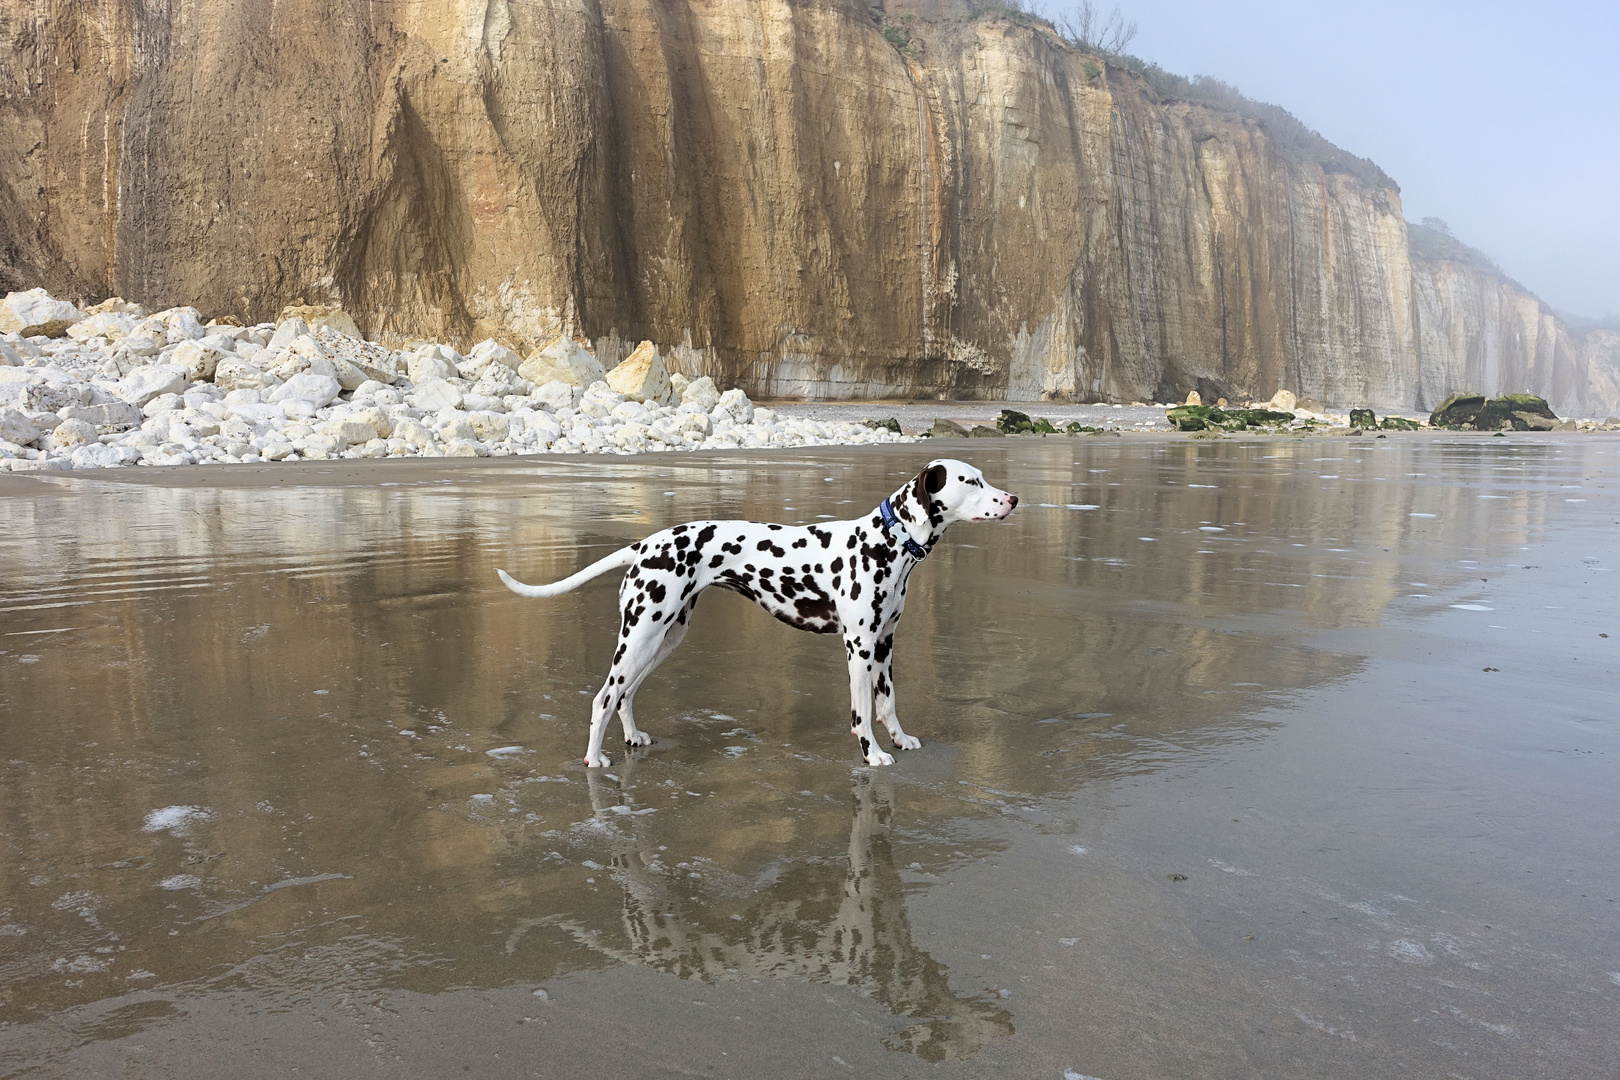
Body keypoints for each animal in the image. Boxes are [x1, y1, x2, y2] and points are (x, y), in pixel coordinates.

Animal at [498, 456, 1017, 767]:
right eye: (970, 481)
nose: (1013, 499)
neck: (884, 542)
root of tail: (645, 544)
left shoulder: (886, 643)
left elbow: (888, 702)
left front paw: (901, 740)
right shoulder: (859, 648)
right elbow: (863, 712)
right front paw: (872, 754)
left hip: (663, 640)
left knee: (625, 695)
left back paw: (631, 737)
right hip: (640, 638)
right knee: (603, 697)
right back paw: (594, 758)